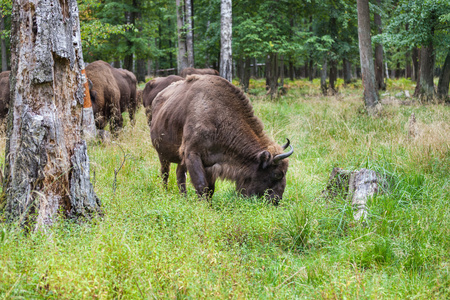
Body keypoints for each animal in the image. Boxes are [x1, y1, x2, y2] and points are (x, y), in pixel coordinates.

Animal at [149, 74, 294, 204]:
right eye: (277, 174)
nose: (276, 201)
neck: (218, 116)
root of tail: (158, 98)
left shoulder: (210, 164)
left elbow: (210, 188)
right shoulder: (192, 154)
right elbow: (201, 184)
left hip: (180, 160)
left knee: (179, 175)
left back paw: (183, 198)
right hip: (162, 155)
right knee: (165, 173)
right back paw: (165, 192)